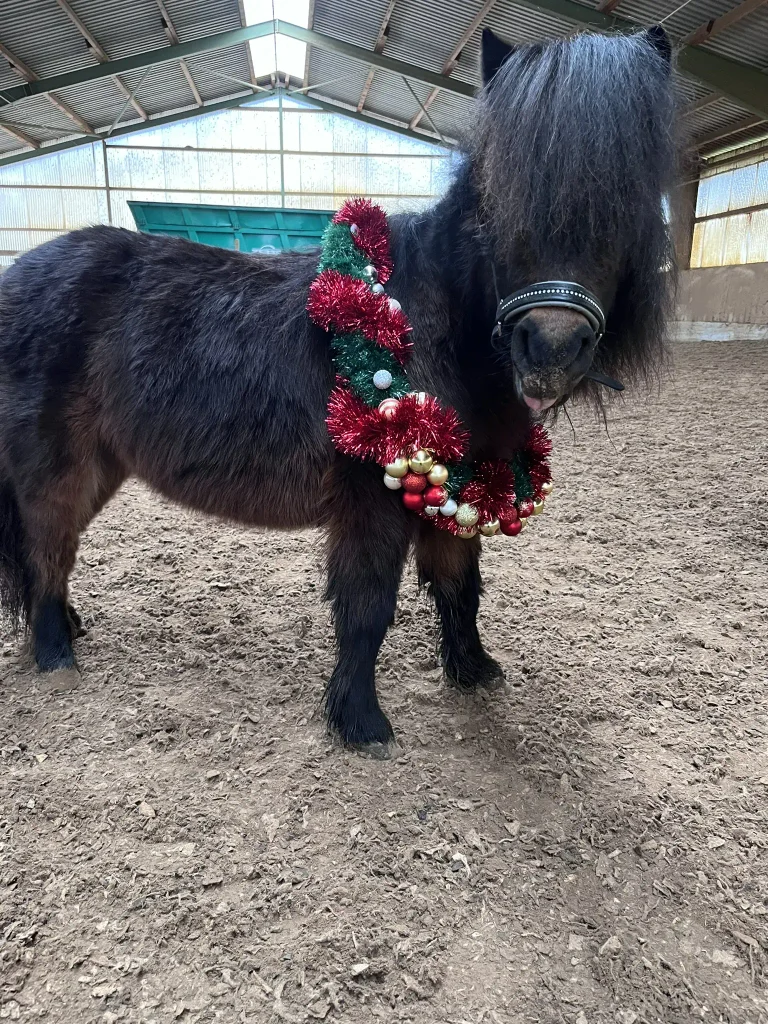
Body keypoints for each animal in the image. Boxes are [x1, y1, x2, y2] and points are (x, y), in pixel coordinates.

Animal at [0, 26, 676, 755]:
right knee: (47, 548)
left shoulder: (459, 482)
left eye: (627, 201)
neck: (428, 323)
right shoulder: (371, 497)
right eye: (499, 203)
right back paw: (56, 656)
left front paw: (473, 671)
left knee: (51, 553)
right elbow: (369, 605)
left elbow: (461, 585)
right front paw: (360, 721)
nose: (550, 347)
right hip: (55, 465)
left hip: (103, 464)